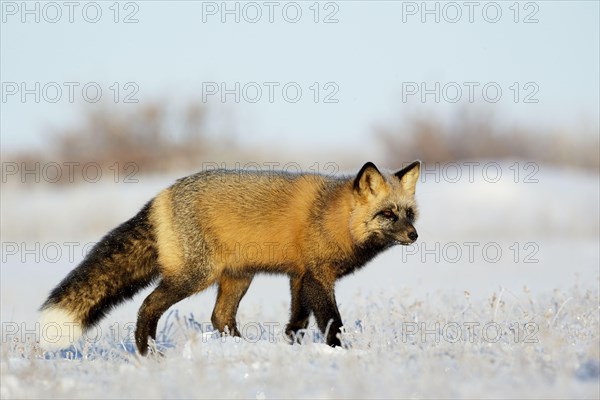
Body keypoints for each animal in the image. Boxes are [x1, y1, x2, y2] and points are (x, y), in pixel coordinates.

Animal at [39, 161, 420, 354]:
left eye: (409, 213)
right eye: (388, 215)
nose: (414, 236)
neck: (333, 216)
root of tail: (161, 195)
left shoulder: (299, 276)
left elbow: (297, 322)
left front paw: (290, 349)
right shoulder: (317, 276)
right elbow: (331, 321)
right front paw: (340, 352)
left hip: (237, 277)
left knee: (219, 318)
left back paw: (241, 349)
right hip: (196, 276)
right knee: (148, 306)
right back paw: (149, 353)